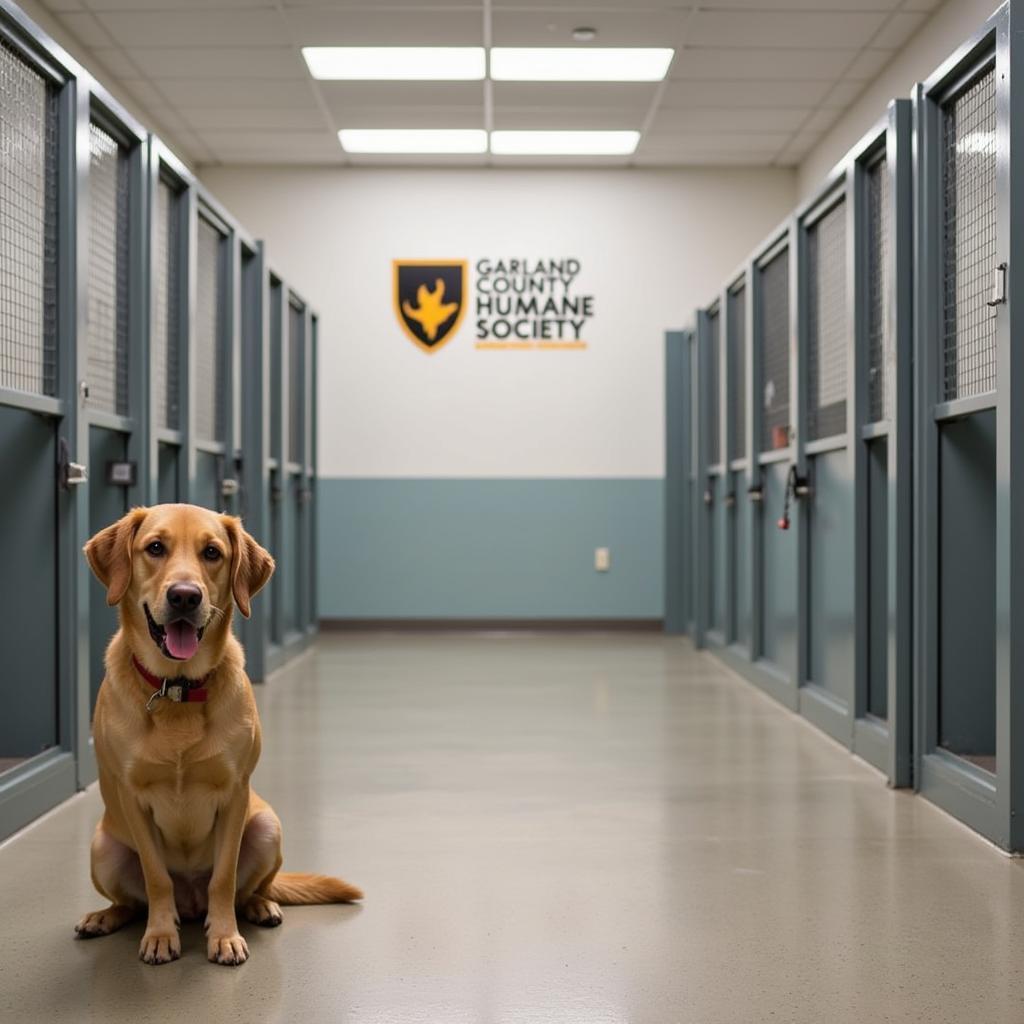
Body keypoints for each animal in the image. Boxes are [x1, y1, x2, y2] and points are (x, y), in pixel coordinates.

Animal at [74, 505, 360, 966]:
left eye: (212, 552)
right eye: (155, 547)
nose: (185, 596)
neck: (178, 689)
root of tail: (191, 904)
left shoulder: (234, 794)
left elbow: (223, 878)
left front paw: (225, 936)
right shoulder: (132, 798)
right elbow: (156, 877)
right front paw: (159, 934)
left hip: (265, 826)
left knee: (247, 890)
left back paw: (260, 906)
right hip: (103, 849)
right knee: (131, 903)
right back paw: (106, 917)